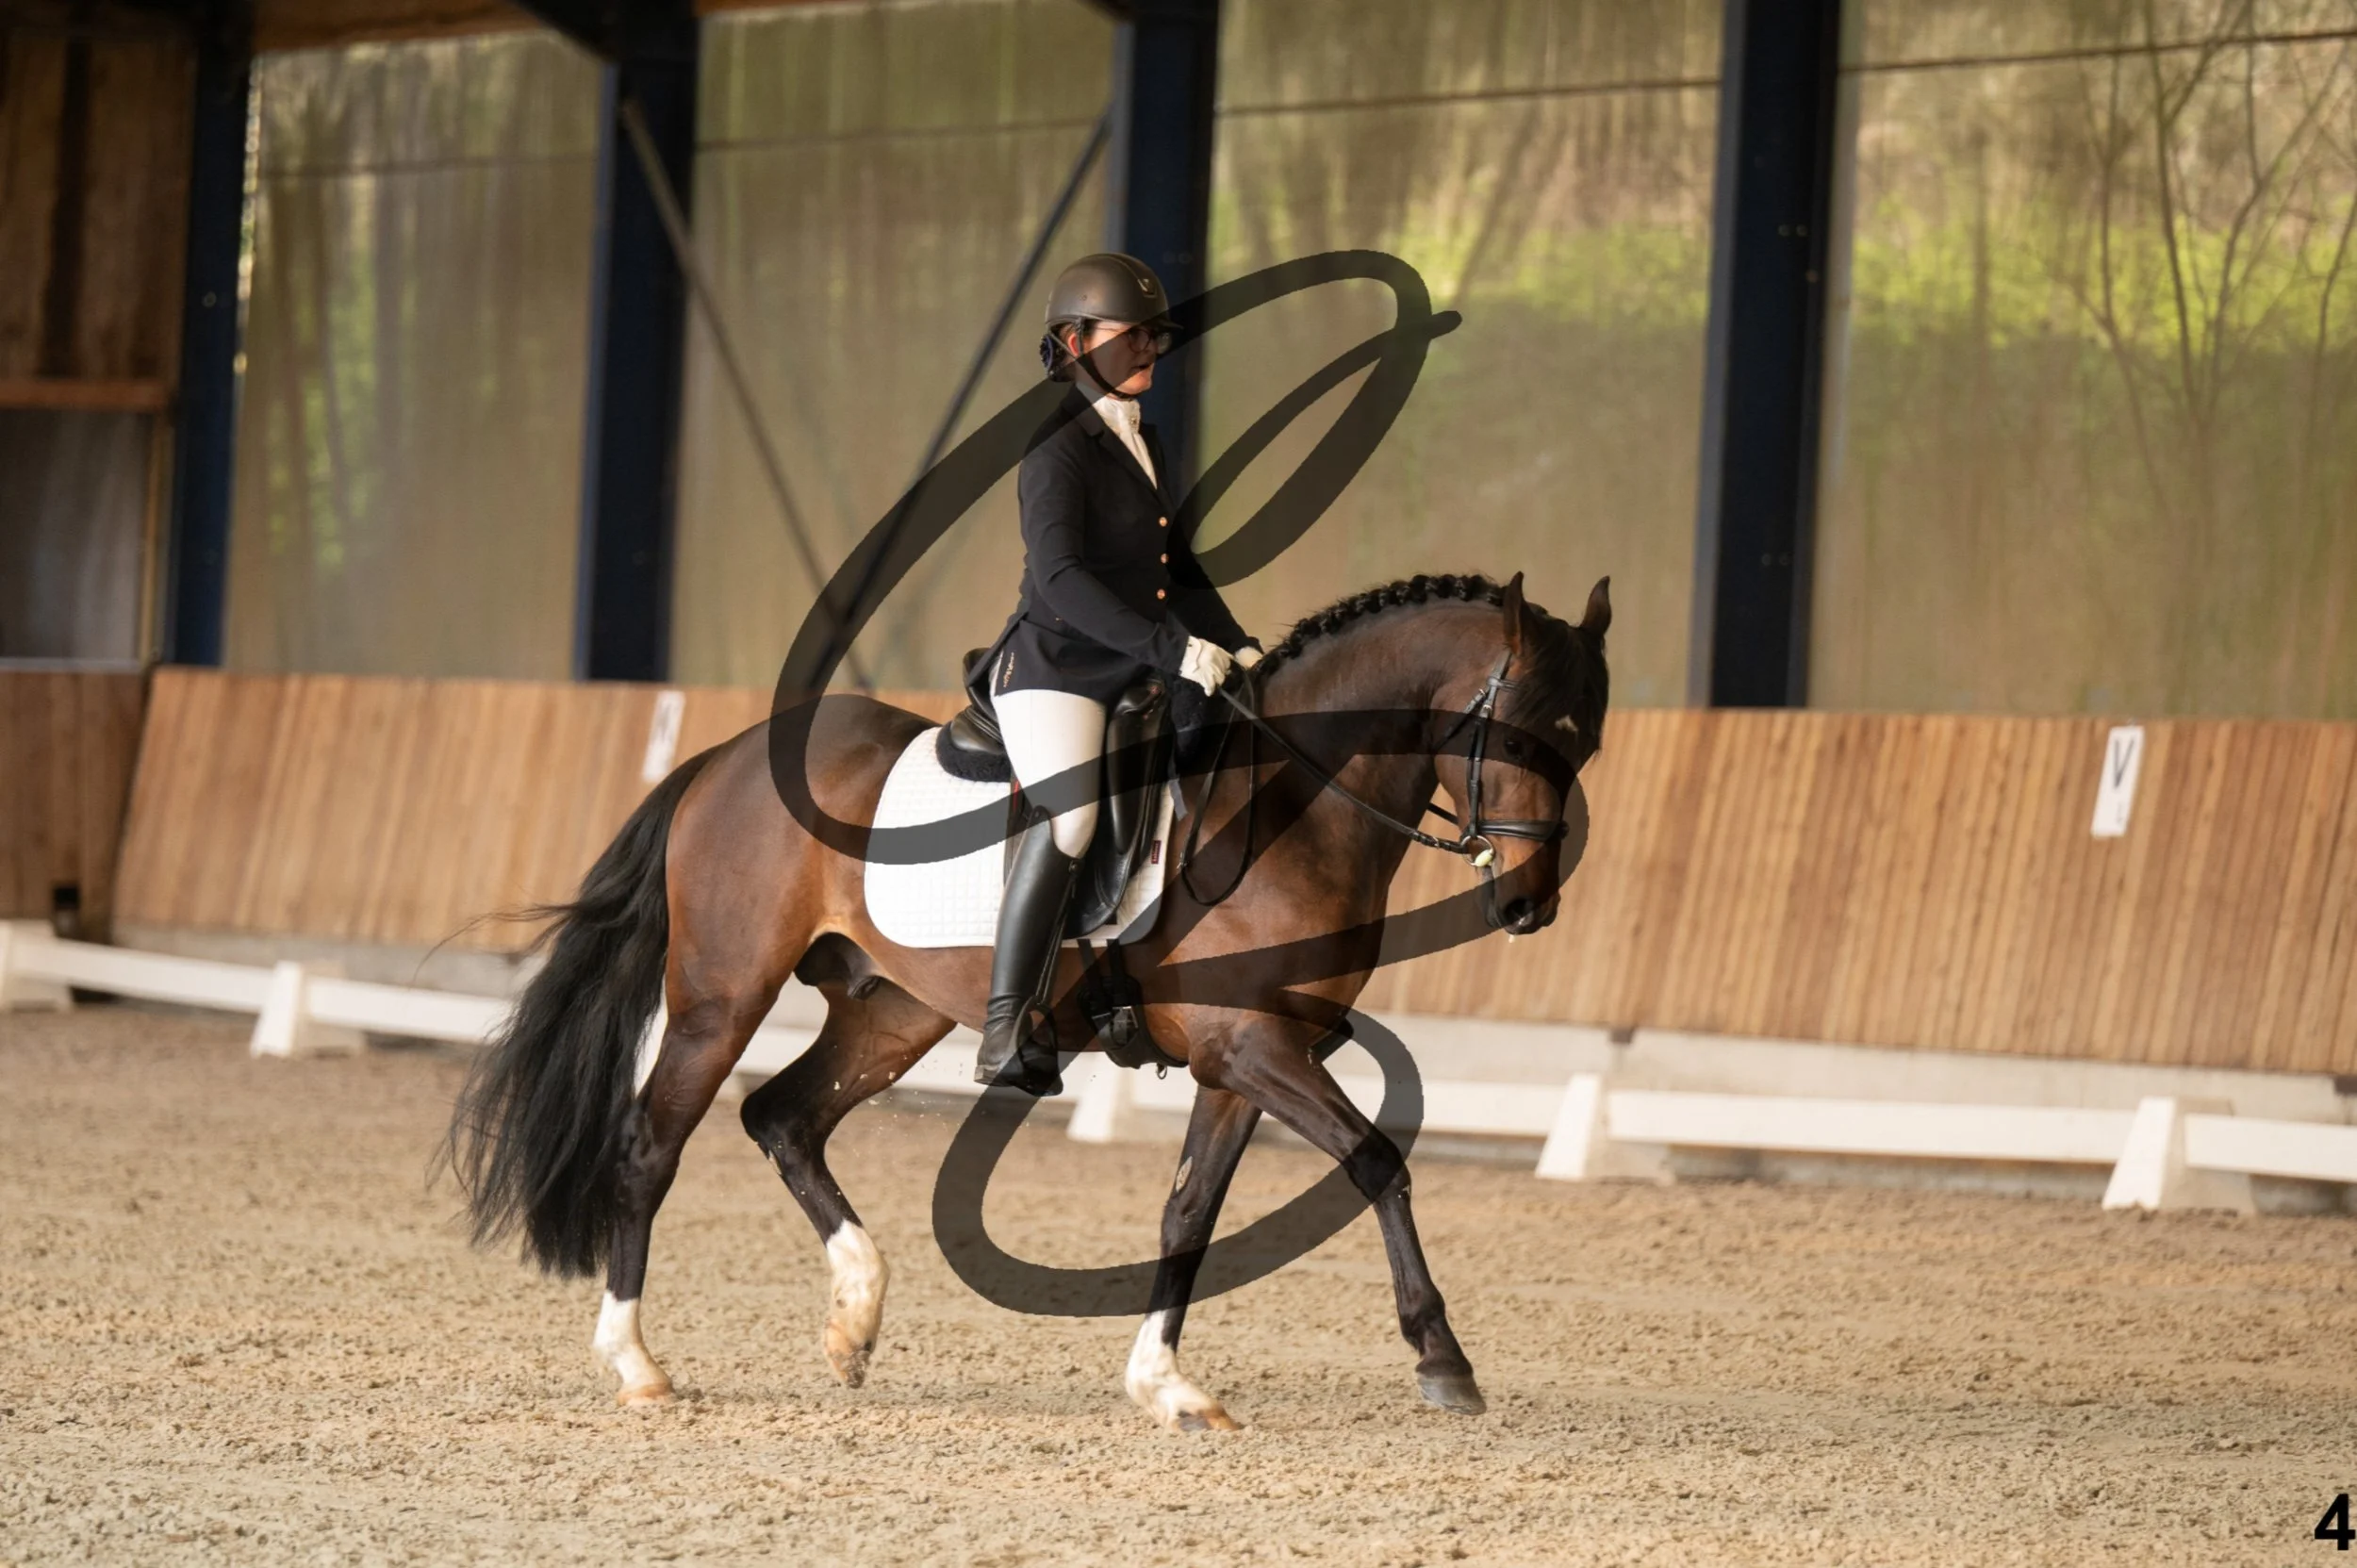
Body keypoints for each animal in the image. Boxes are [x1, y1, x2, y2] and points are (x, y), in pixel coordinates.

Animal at [445, 569, 1611, 1430]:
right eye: (1520, 734)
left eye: (1587, 741)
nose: (1528, 903)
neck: (1290, 803)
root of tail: (724, 759)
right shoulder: (1253, 1047)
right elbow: (1377, 1161)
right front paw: (1442, 1356)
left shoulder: (1244, 1059)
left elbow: (1189, 1208)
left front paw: (1165, 1384)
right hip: (718, 1000)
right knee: (653, 1144)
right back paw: (638, 1364)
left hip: (891, 1008)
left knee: (783, 1116)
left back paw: (855, 1317)